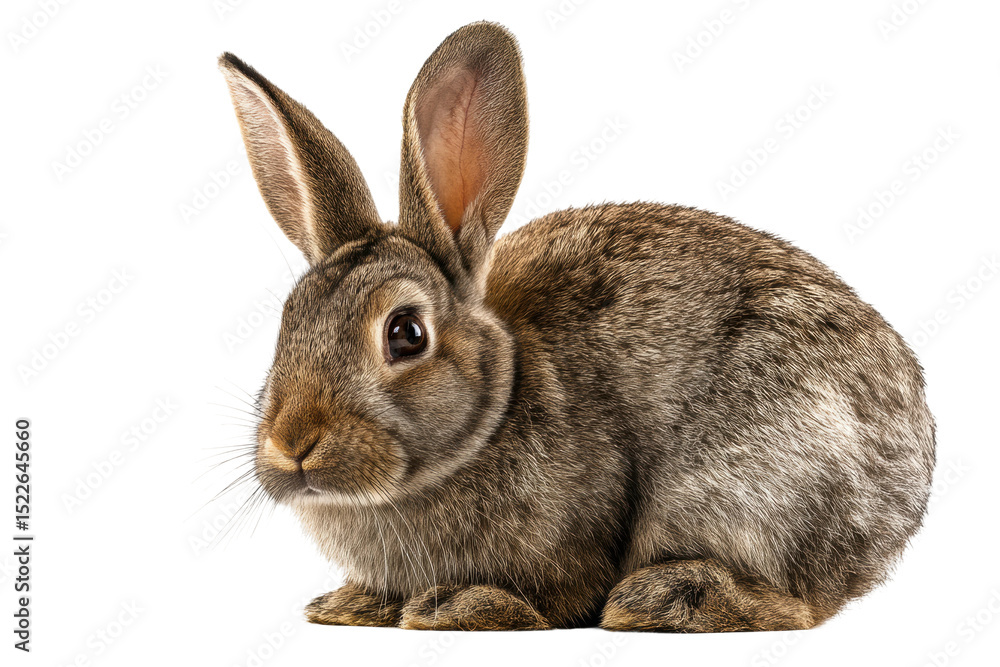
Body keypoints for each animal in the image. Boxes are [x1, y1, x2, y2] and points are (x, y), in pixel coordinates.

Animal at [218, 21, 935, 631]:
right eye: (288, 321)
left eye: (406, 333)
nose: (293, 443)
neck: (493, 412)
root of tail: (909, 478)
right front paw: (353, 604)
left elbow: (557, 596)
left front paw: (462, 605)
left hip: (749, 485)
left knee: (796, 603)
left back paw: (663, 598)